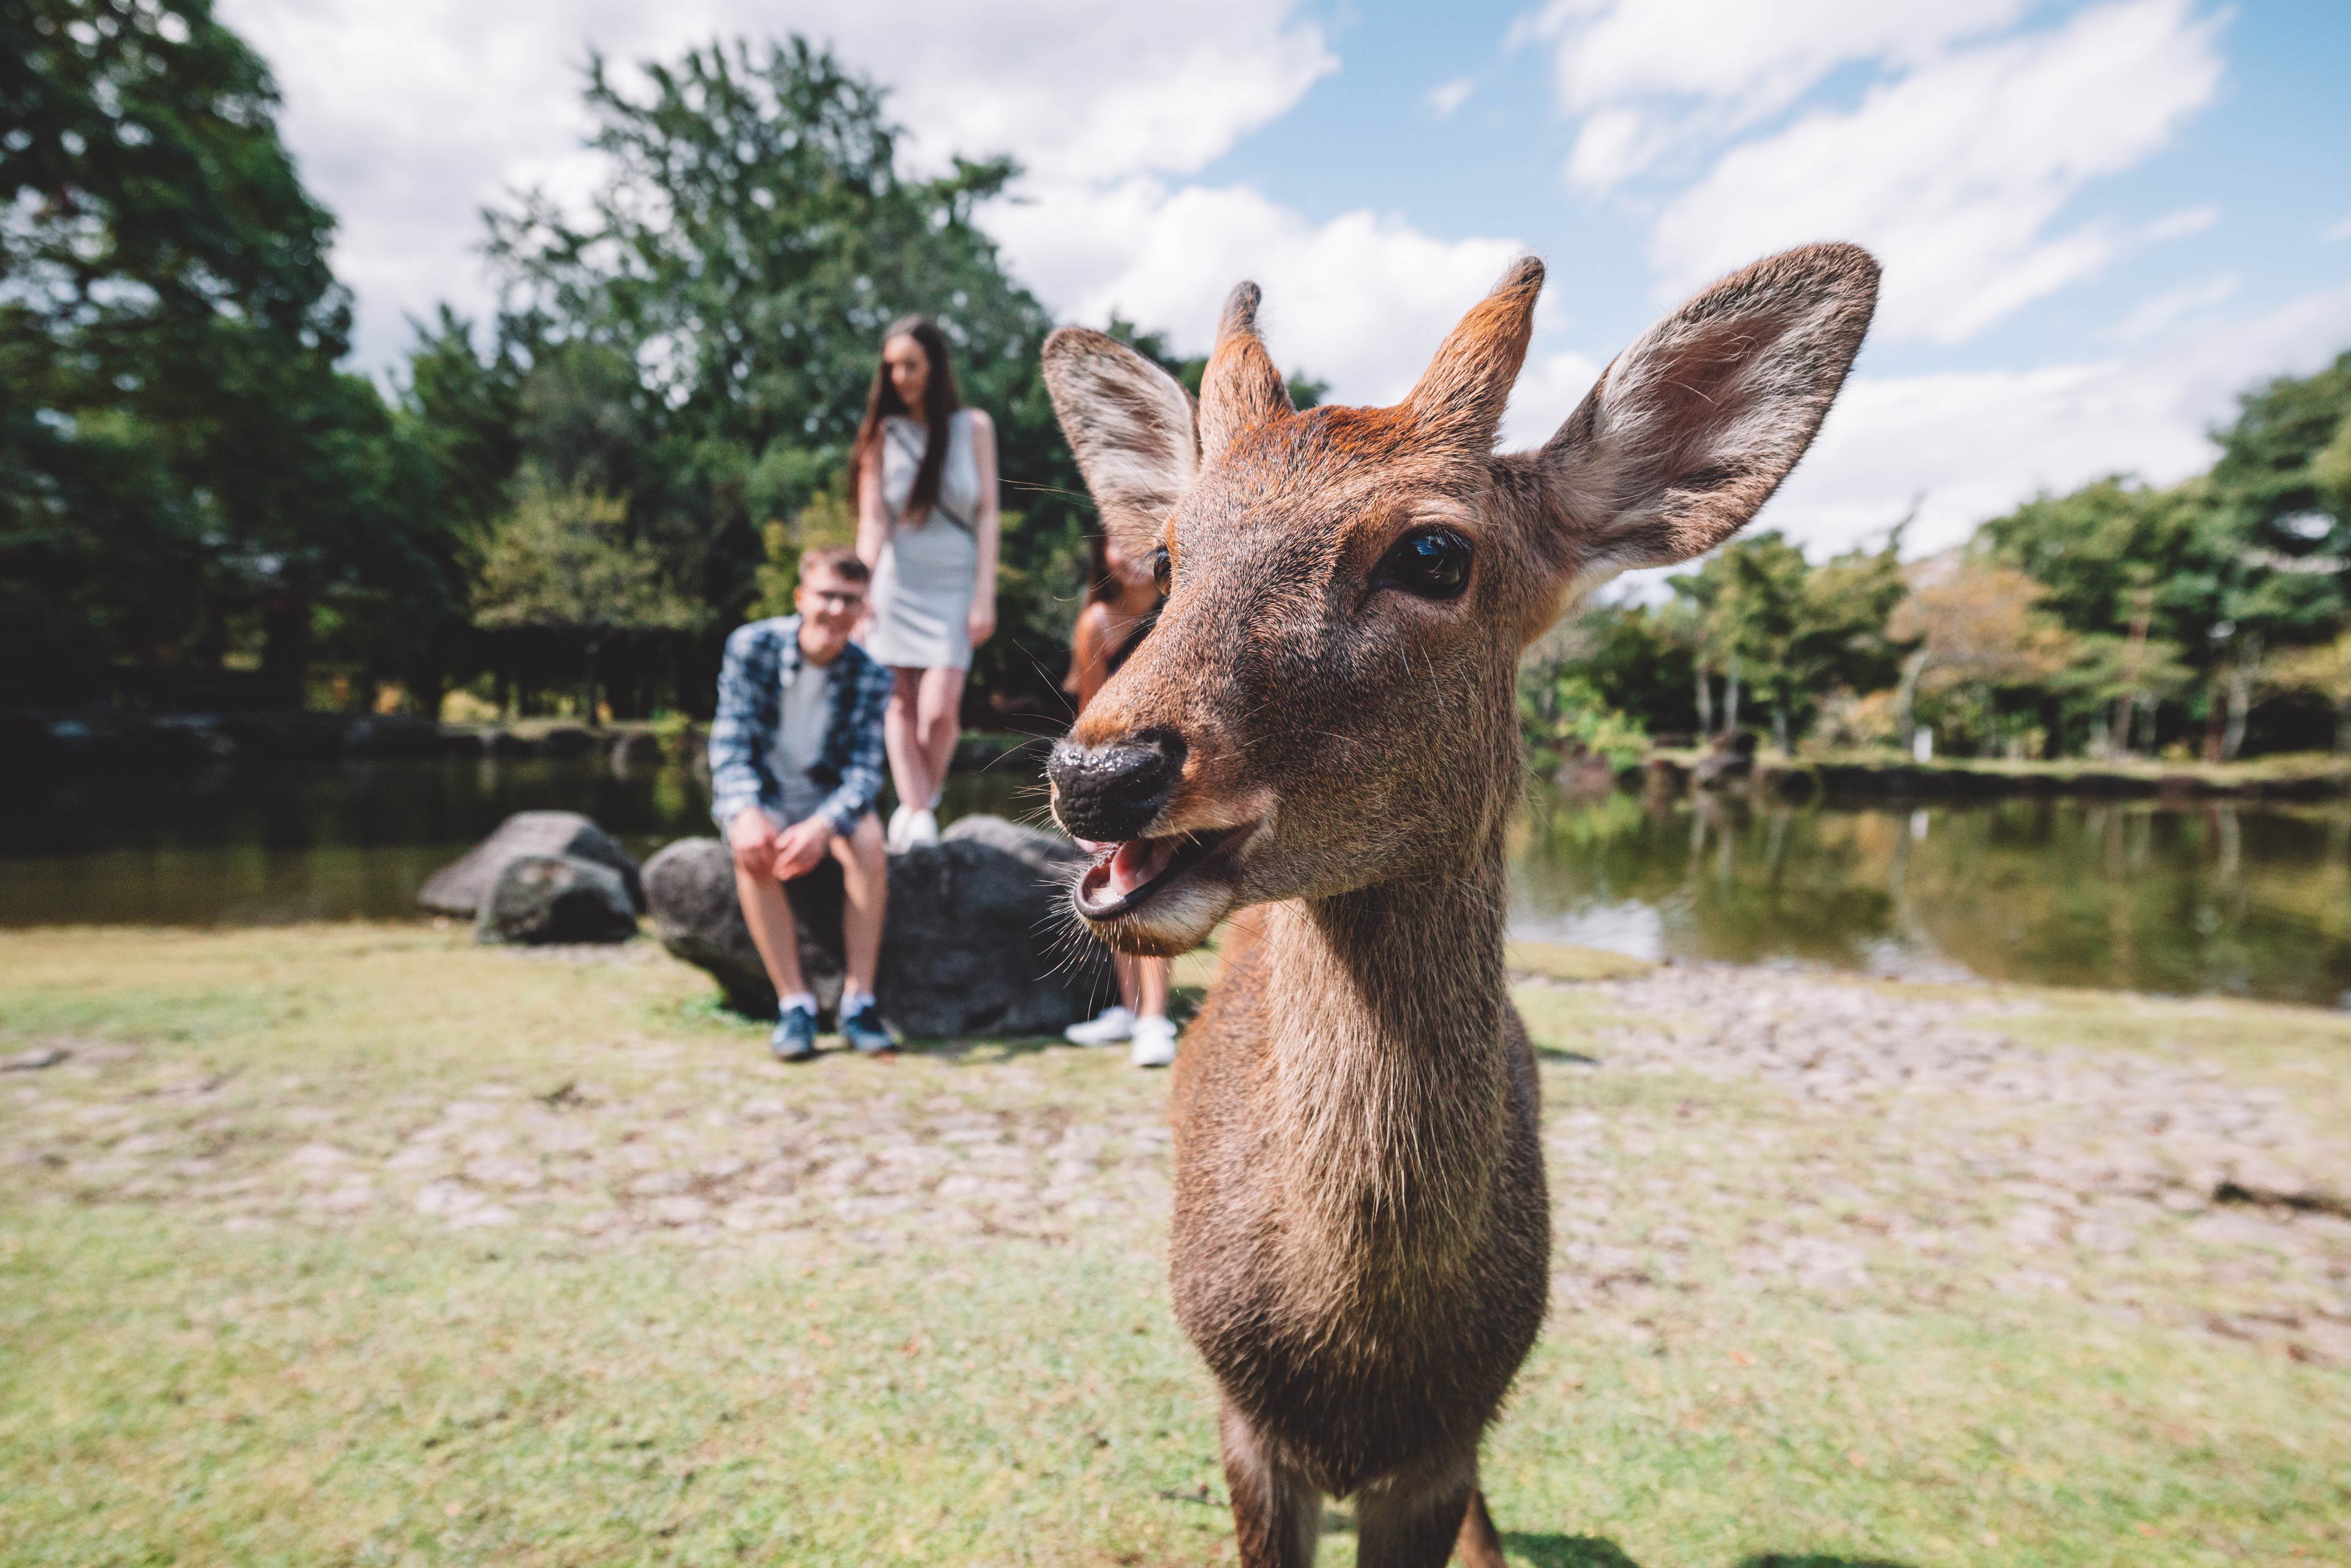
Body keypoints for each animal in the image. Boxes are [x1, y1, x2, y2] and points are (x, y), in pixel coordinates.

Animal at [1041, 243, 1879, 1568]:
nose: (1100, 771)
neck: (1361, 1365)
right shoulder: (1241, 1421)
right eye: (1167, 557)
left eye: (1435, 553)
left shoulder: (1446, 1442)